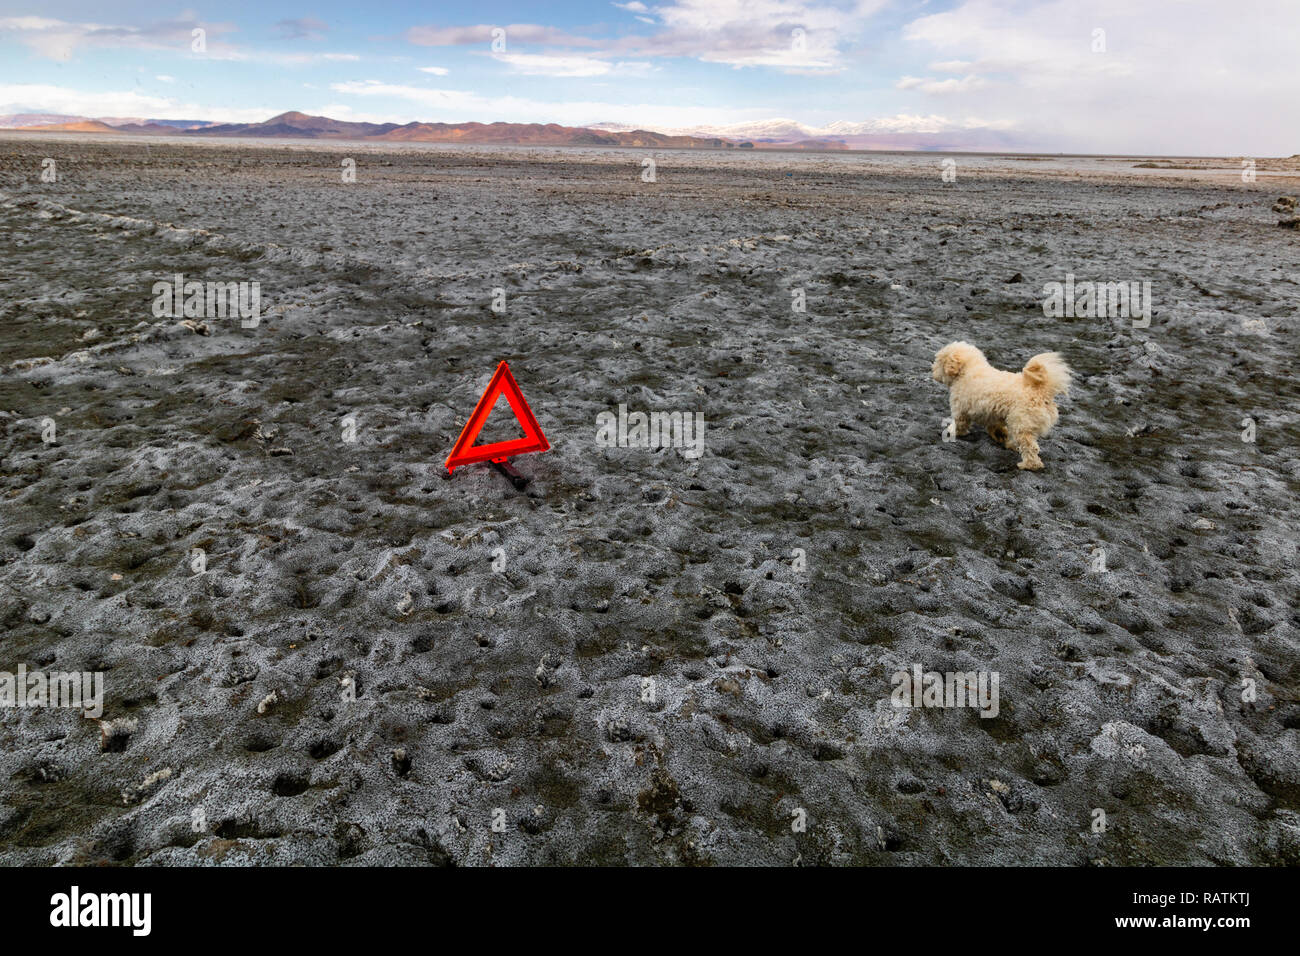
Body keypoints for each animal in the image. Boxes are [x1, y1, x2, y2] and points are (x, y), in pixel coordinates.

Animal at [935, 343, 1076, 470]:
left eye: (939, 361)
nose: (932, 371)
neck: (968, 369)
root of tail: (1041, 391)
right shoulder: (993, 413)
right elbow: (995, 426)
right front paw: (999, 435)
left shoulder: (960, 409)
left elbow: (960, 423)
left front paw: (954, 431)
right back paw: (1011, 445)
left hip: (1021, 424)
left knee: (1030, 448)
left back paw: (1028, 465)